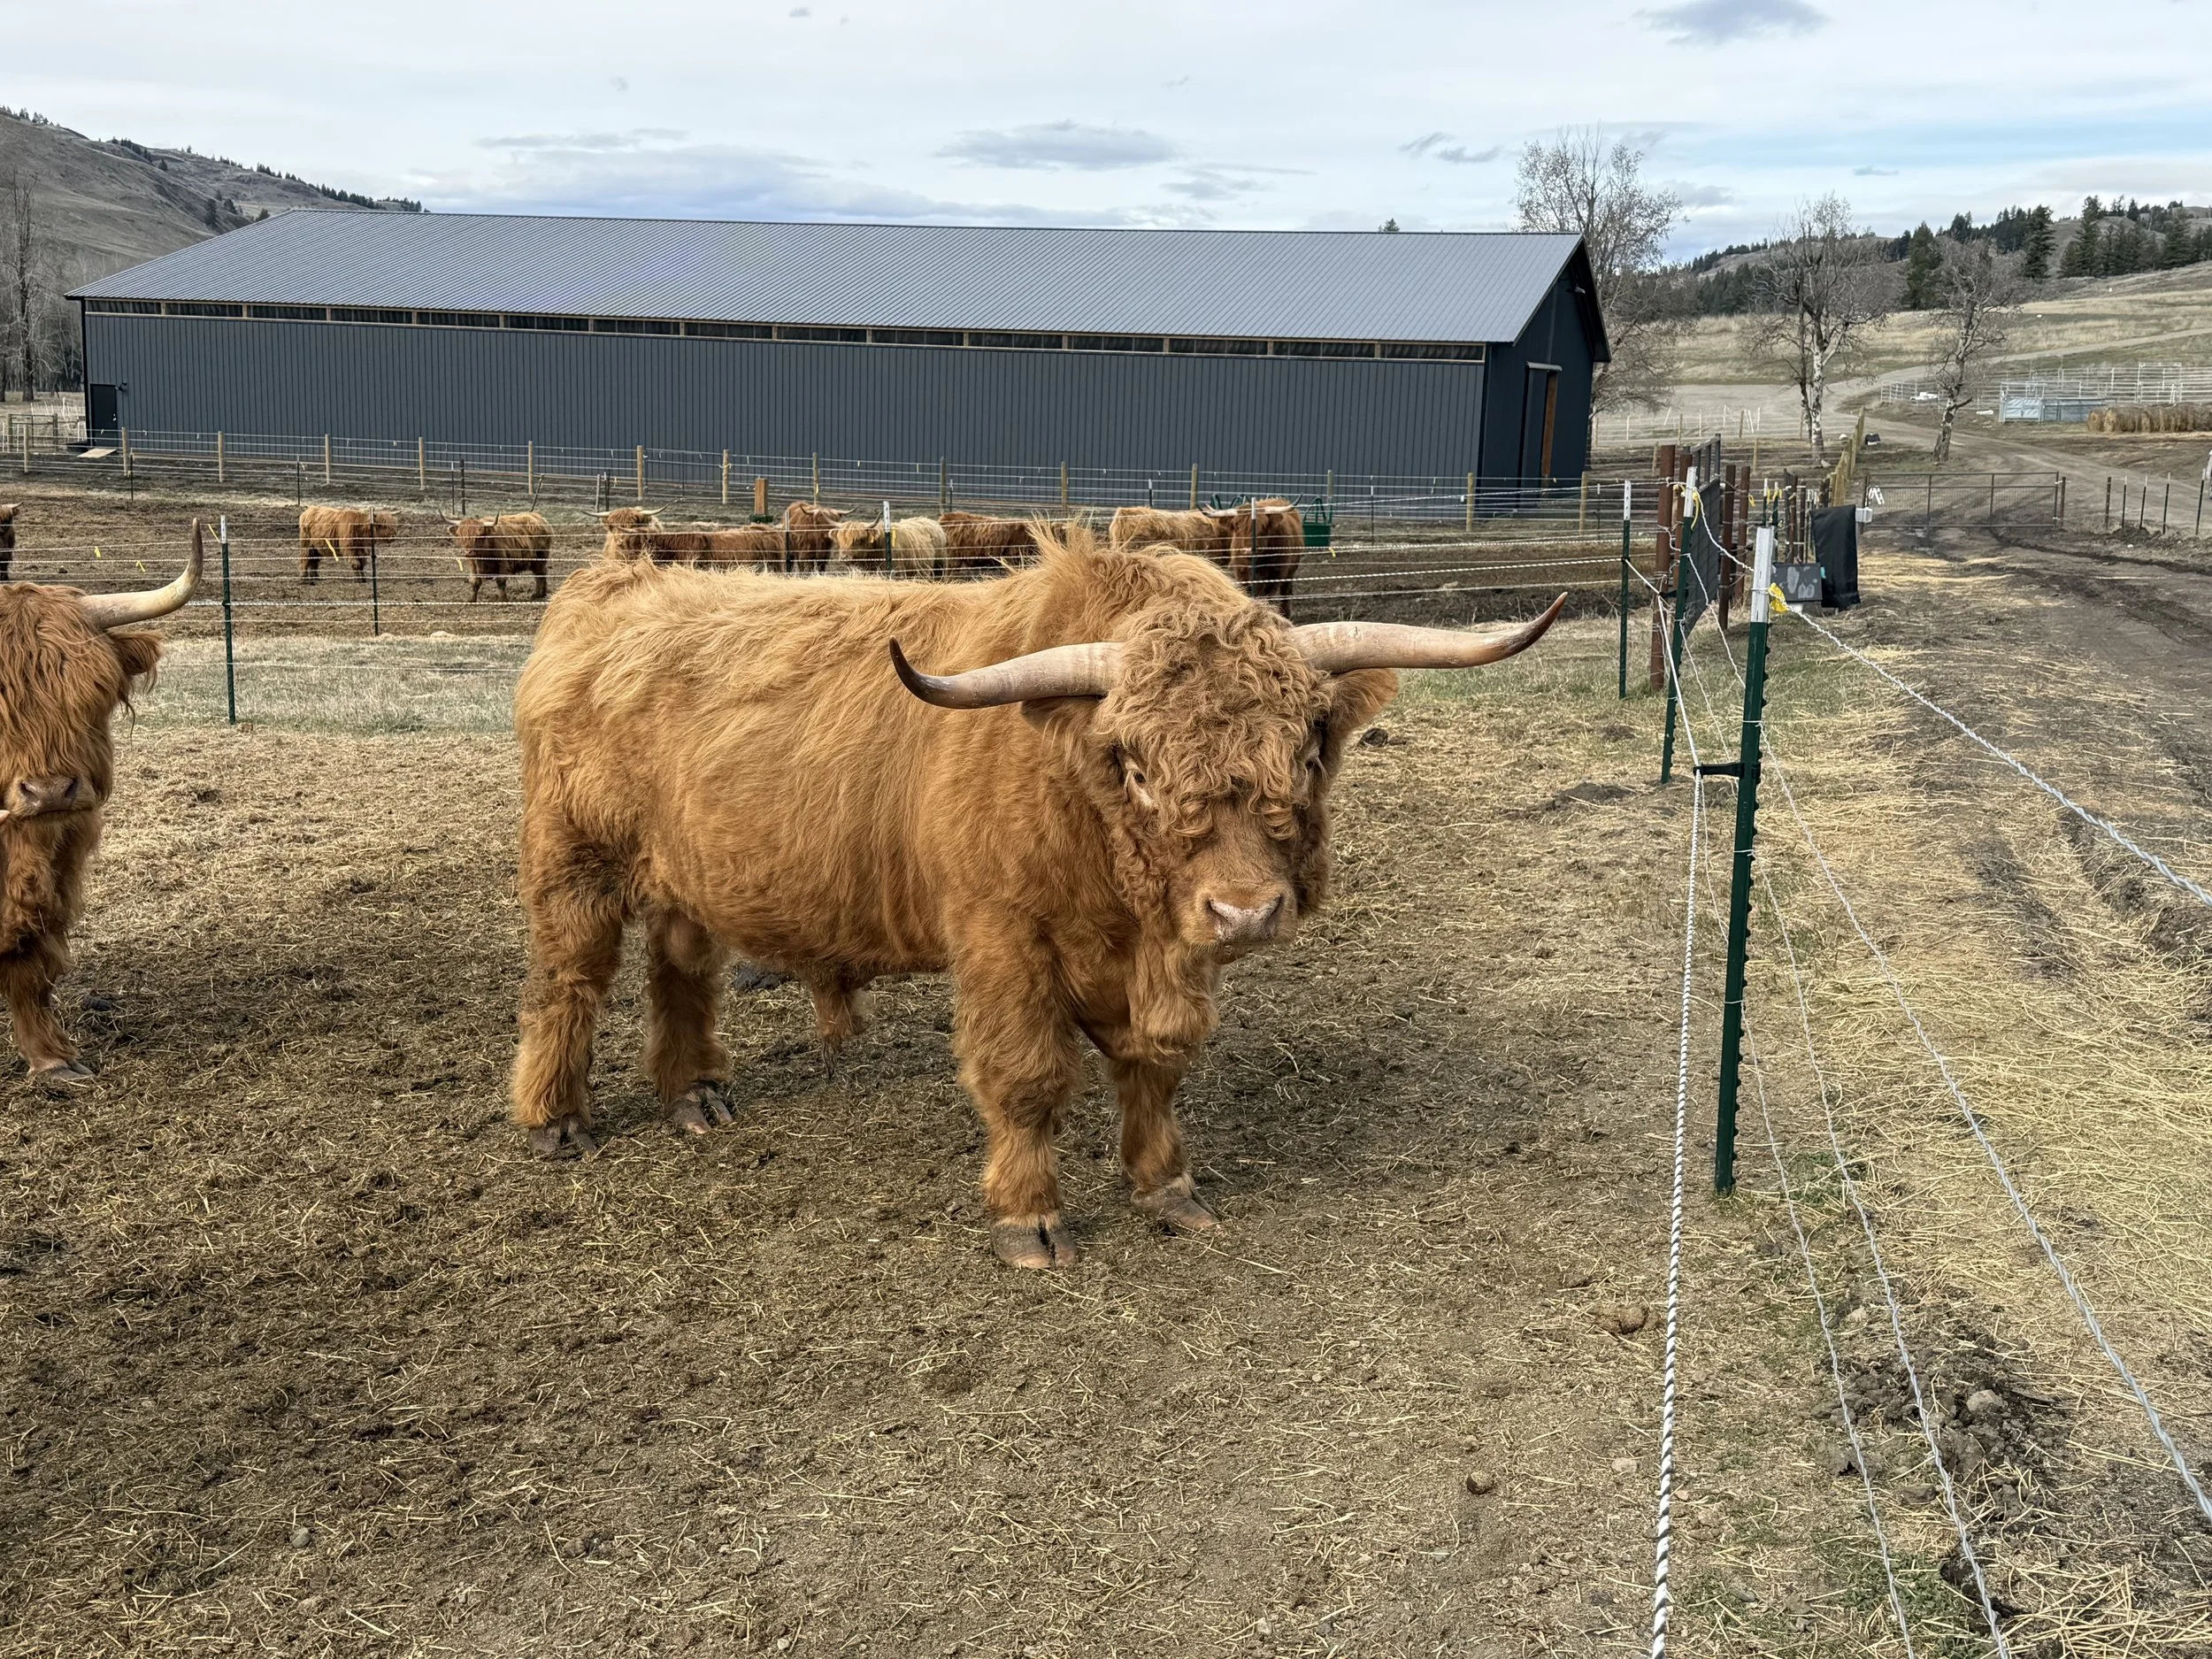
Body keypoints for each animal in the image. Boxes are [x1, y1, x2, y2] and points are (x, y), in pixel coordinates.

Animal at [509, 523, 1562, 1269]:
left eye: (1305, 753)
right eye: (1134, 766)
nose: (1244, 913)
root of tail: (610, 585)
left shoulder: (1164, 958)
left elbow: (1154, 1066)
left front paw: (1168, 1186)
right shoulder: (1002, 942)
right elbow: (1027, 1078)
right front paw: (1030, 1219)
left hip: (688, 873)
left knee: (680, 969)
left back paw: (696, 1095)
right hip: (573, 862)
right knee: (569, 982)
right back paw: (556, 1118)